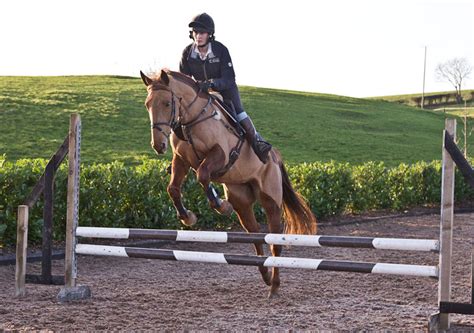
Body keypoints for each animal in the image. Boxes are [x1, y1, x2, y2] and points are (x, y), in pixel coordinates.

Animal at [142, 68, 318, 296]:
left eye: (166, 103)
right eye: (147, 104)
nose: (158, 145)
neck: (191, 120)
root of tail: (276, 157)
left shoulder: (220, 154)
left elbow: (202, 175)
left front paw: (220, 206)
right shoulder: (181, 160)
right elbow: (173, 188)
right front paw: (187, 217)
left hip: (271, 200)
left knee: (274, 241)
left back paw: (275, 285)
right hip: (241, 200)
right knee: (255, 234)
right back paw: (265, 275)